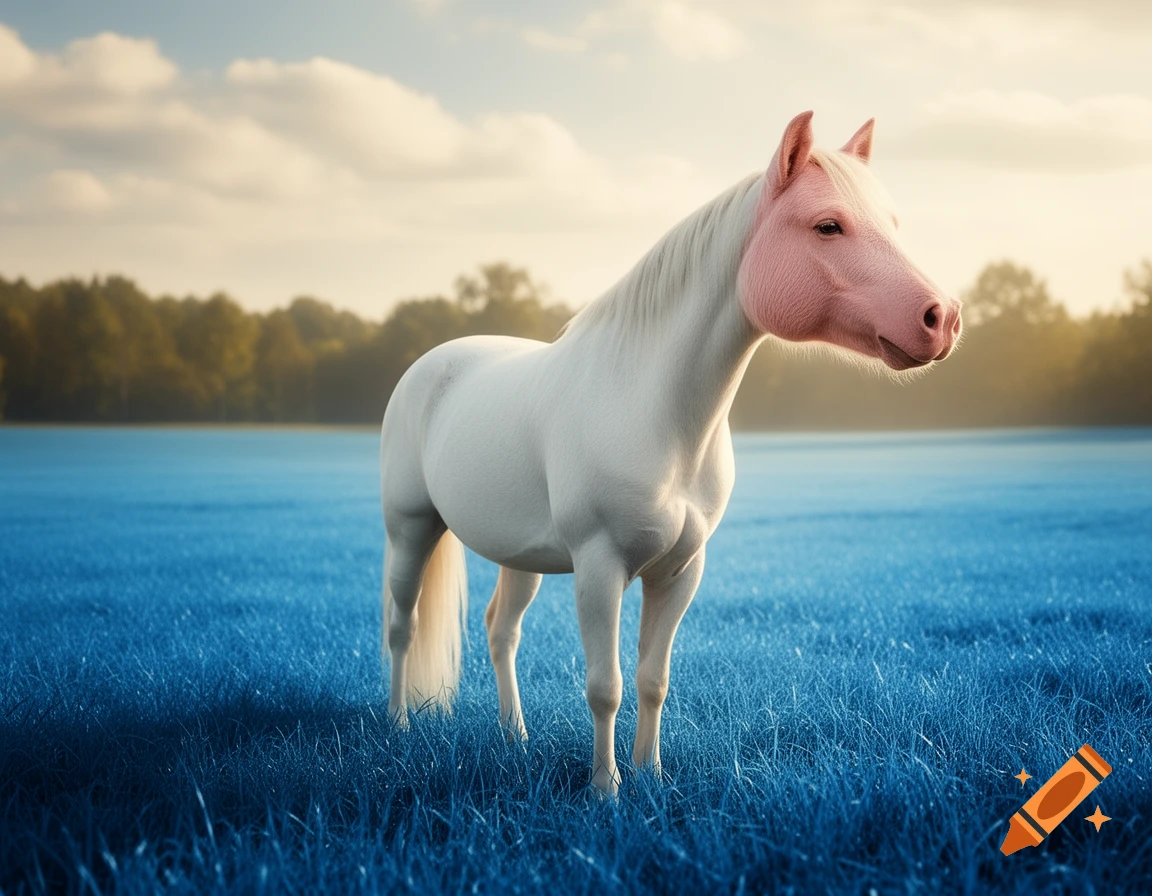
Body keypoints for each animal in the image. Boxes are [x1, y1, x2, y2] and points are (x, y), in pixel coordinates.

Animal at [379, 110, 962, 795]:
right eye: (828, 225)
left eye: (893, 222)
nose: (943, 318)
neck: (655, 410)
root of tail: (432, 363)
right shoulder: (600, 569)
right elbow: (604, 686)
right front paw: (606, 789)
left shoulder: (681, 571)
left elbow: (652, 680)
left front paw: (649, 773)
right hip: (411, 528)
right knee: (402, 624)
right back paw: (398, 727)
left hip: (518, 554)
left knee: (502, 631)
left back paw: (513, 736)